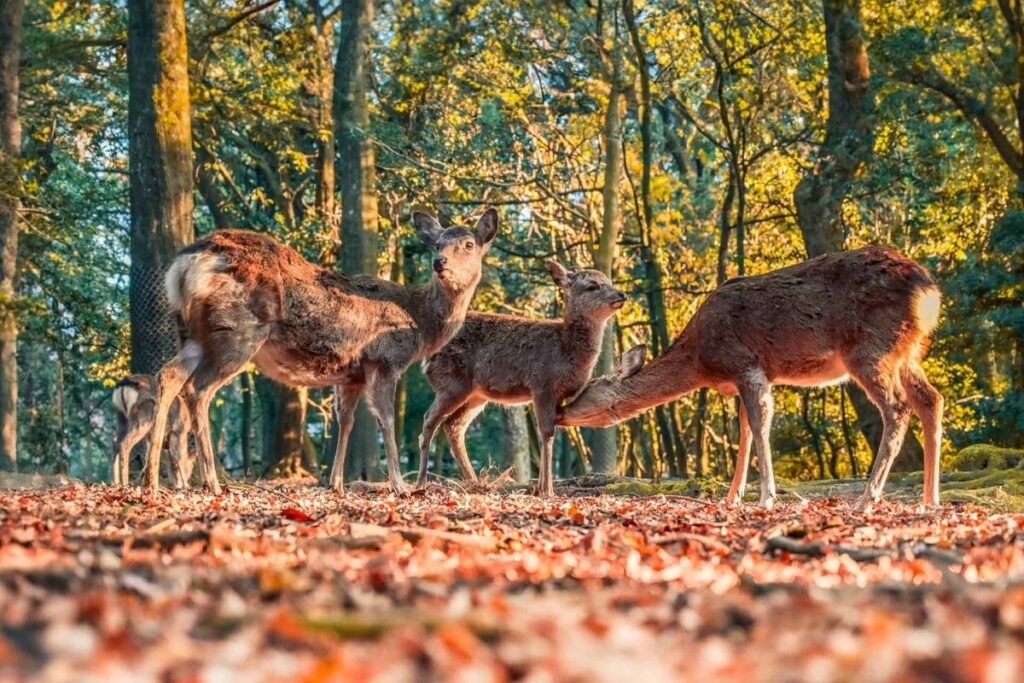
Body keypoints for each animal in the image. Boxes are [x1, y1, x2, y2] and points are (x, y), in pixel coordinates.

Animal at [140, 209, 498, 495]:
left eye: (469, 245)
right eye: (437, 245)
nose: (440, 263)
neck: (419, 322)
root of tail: (186, 263)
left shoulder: (352, 374)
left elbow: (346, 420)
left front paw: (336, 483)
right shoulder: (384, 360)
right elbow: (384, 420)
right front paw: (400, 486)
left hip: (191, 334)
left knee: (168, 376)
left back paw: (151, 479)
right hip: (238, 330)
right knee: (197, 389)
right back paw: (212, 482)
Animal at [416, 261, 627, 496]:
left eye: (609, 280)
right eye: (592, 285)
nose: (622, 294)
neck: (566, 349)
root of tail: (427, 357)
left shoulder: (557, 395)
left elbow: (548, 433)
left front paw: (540, 488)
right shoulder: (542, 383)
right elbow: (547, 432)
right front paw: (547, 490)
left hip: (475, 394)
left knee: (453, 425)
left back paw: (475, 482)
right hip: (451, 383)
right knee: (429, 421)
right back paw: (421, 483)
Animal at [557, 246, 944, 511]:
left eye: (587, 389)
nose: (559, 413)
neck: (702, 360)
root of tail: (930, 292)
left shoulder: (746, 365)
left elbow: (758, 426)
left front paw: (765, 497)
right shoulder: (749, 377)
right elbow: (743, 429)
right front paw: (733, 496)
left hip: (871, 349)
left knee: (897, 409)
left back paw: (867, 498)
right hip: (907, 352)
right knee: (932, 399)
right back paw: (930, 498)